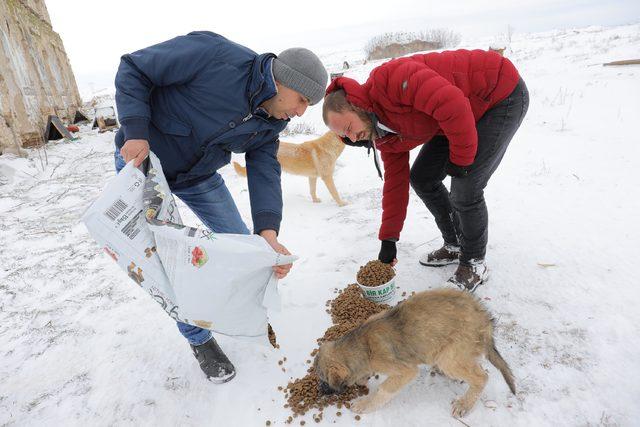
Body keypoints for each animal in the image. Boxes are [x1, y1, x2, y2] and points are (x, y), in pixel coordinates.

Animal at [316, 288, 516, 418]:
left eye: (324, 380)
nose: (320, 391)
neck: (363, 345)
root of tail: (485, 319)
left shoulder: (404, 371)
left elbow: (382, 390)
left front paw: (364, 404)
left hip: (449, 357)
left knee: (481, 376)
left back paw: (464, 405)